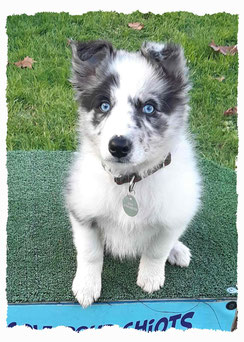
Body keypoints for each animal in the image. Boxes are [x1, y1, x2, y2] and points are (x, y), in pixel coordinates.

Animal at [66, 39, 201, 308]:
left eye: (149, 108)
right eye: (104, 105)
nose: (118, 146)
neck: (130, 180)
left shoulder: (173, 217)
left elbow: (157, 249)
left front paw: (150, 277)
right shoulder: (82, 210)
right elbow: (90, 252)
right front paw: (86, 286)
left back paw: (177, 250)